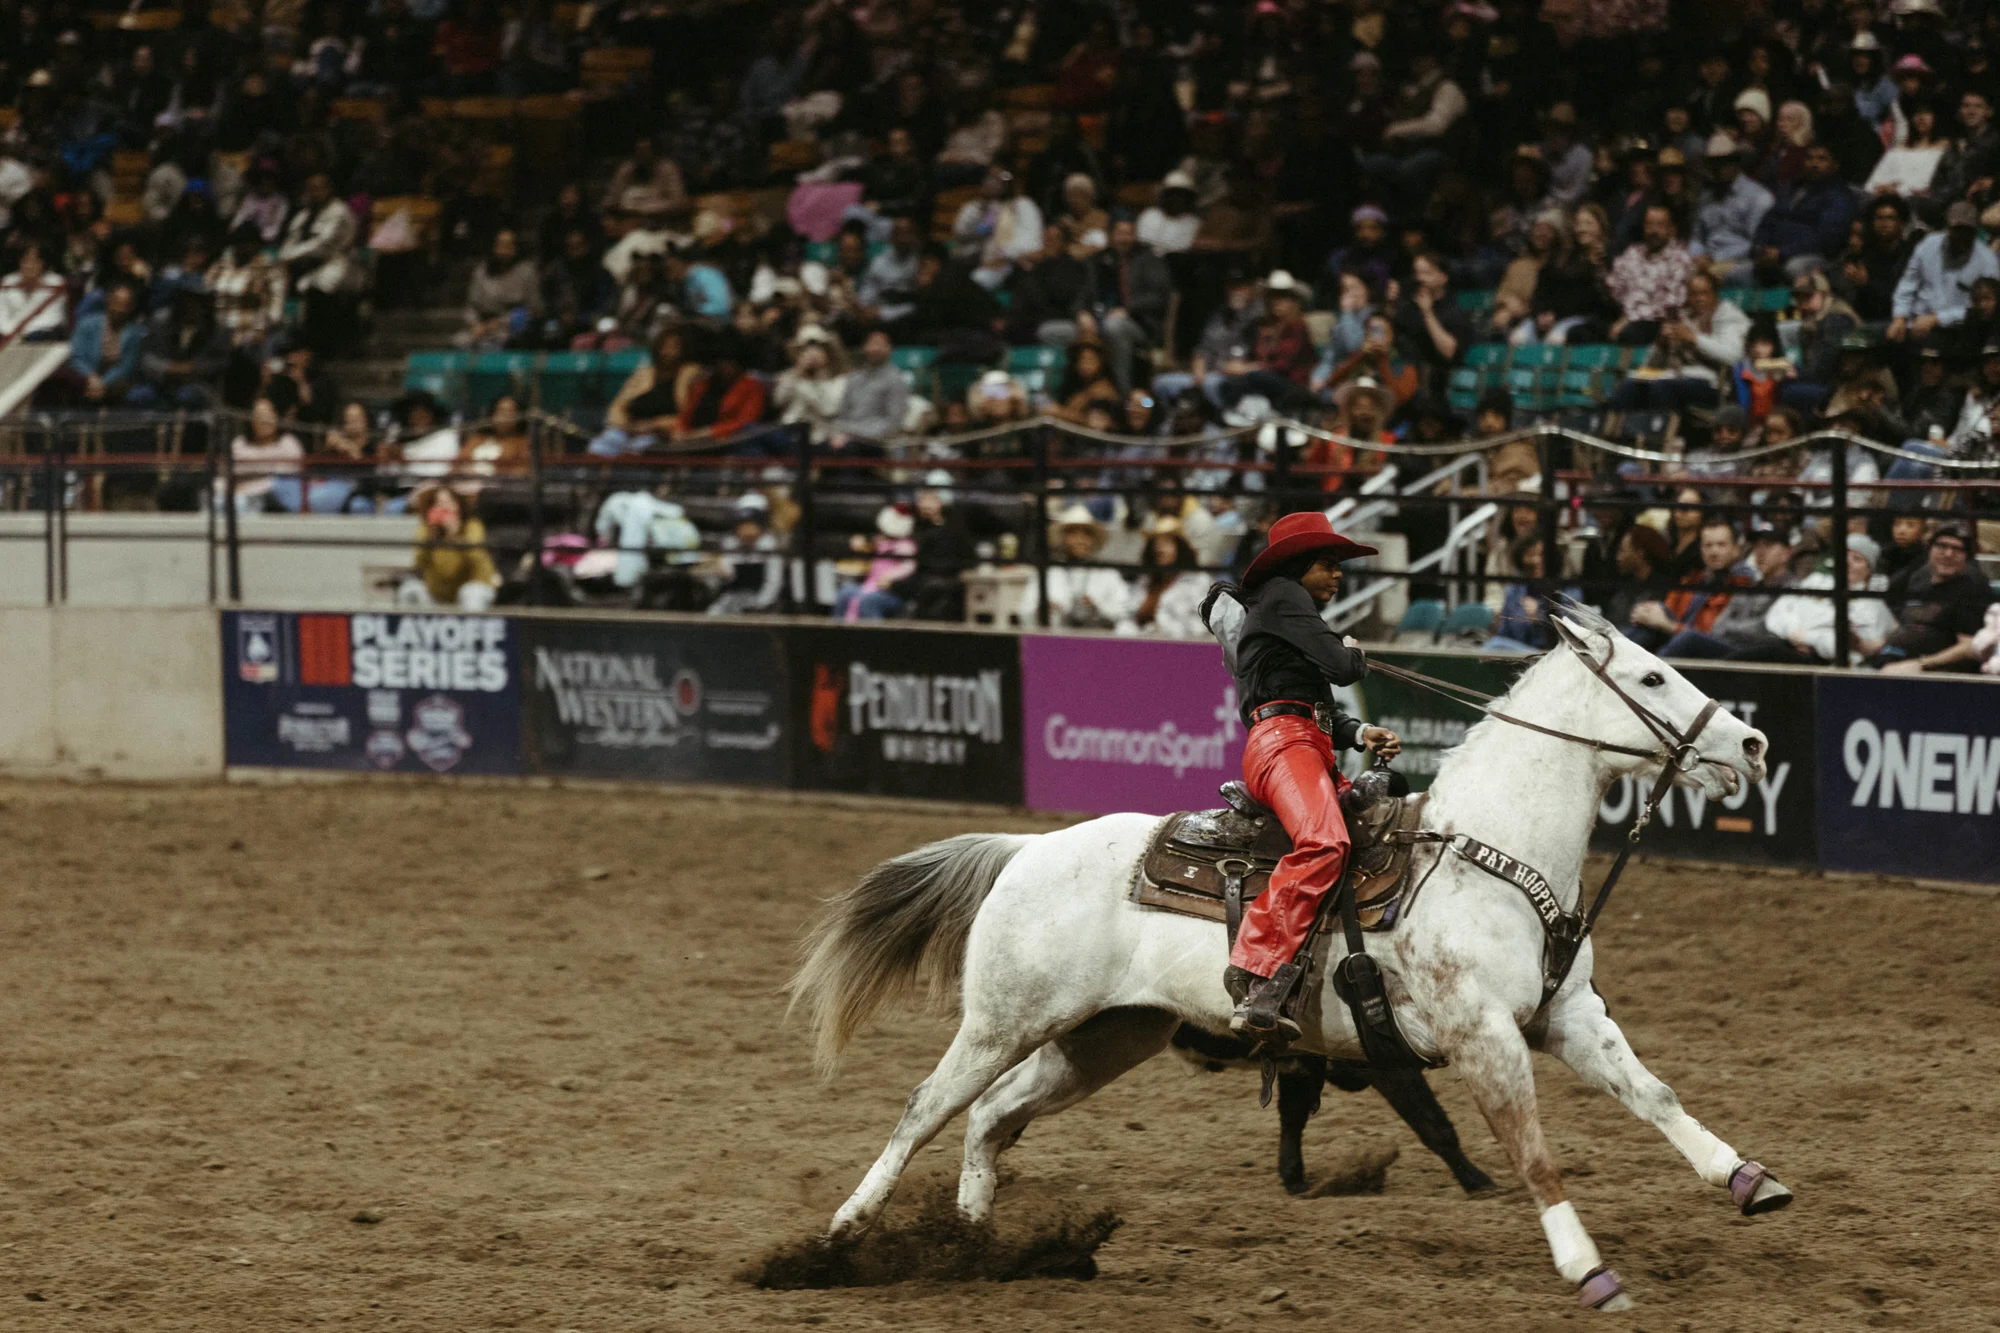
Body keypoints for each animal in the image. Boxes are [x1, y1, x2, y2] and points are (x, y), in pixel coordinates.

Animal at [796, 608, 1800, 1304]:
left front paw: (1748, 1178)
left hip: (1105, 1037)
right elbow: (1532, 1152)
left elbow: (1656, 1095)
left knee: (991, 1116)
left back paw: (974, 1246)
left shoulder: (1569, 1017)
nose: (1753, 741)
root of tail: (1025, 849)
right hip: (1004, 1018)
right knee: (927, 1106)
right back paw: (841, 1236)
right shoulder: (1482, 1036)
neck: (1489, 853)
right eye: (1653, 675)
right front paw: (1589, 1269)